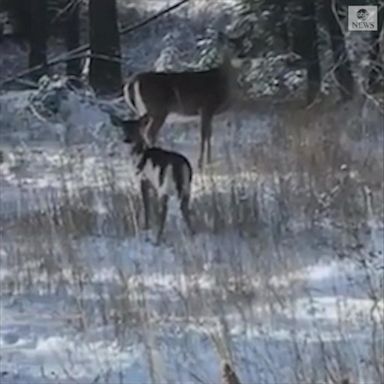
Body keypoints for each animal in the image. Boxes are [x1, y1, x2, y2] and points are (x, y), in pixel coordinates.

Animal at [112, 115, 194, 243]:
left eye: (136, 129)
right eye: (123, 128)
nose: (127, 140)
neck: (139, 156)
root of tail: (180, 166)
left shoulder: (144, 180)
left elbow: (146, 205)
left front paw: (146, 228)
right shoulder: (154, 186)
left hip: (164, 186)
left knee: (165, 211)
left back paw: (157, 239)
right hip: (187, 188)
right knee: (184, 209)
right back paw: (191, 234)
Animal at [122, 34, 240, 170]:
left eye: (244, 43)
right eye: (230, 45)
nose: (241, 55)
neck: (221, 79)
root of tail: (131, 83)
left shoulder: (207, 112)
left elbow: (209, 134)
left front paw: (208, 161)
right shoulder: (206, 107)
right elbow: (204, 135)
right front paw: (203, 163)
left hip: (142, 112)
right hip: (156, 110)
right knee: (149, 133)